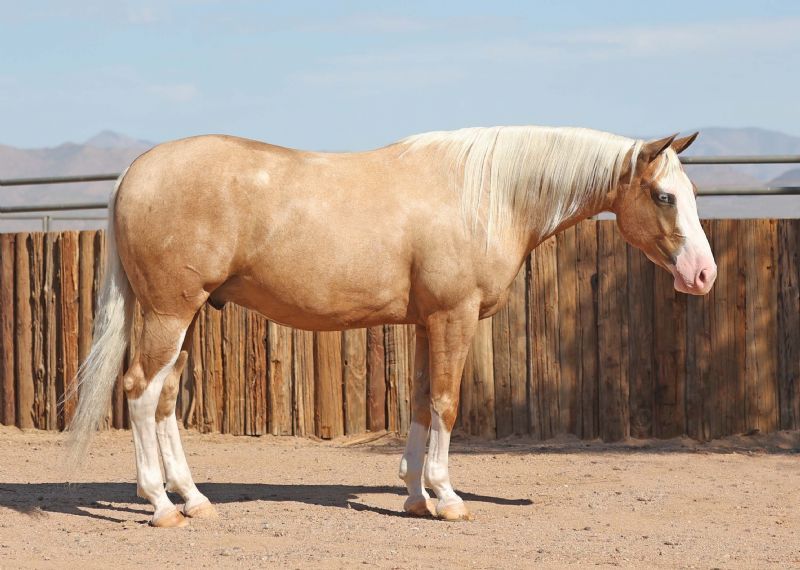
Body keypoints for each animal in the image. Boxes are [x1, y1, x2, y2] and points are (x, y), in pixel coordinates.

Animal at [67, 126, 716, 527]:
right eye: (663, 196)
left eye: (689, 191)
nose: (703, 274)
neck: (483, 195)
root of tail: (134, 172)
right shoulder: (454, 316)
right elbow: (448, 404)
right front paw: (448, 498)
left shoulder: (428, 323)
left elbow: (422, 400)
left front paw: (414, 496)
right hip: (170, 312)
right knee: (139, 393)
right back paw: (160, 505)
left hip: (187, 315)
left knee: (165, 398)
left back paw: (195, 500)